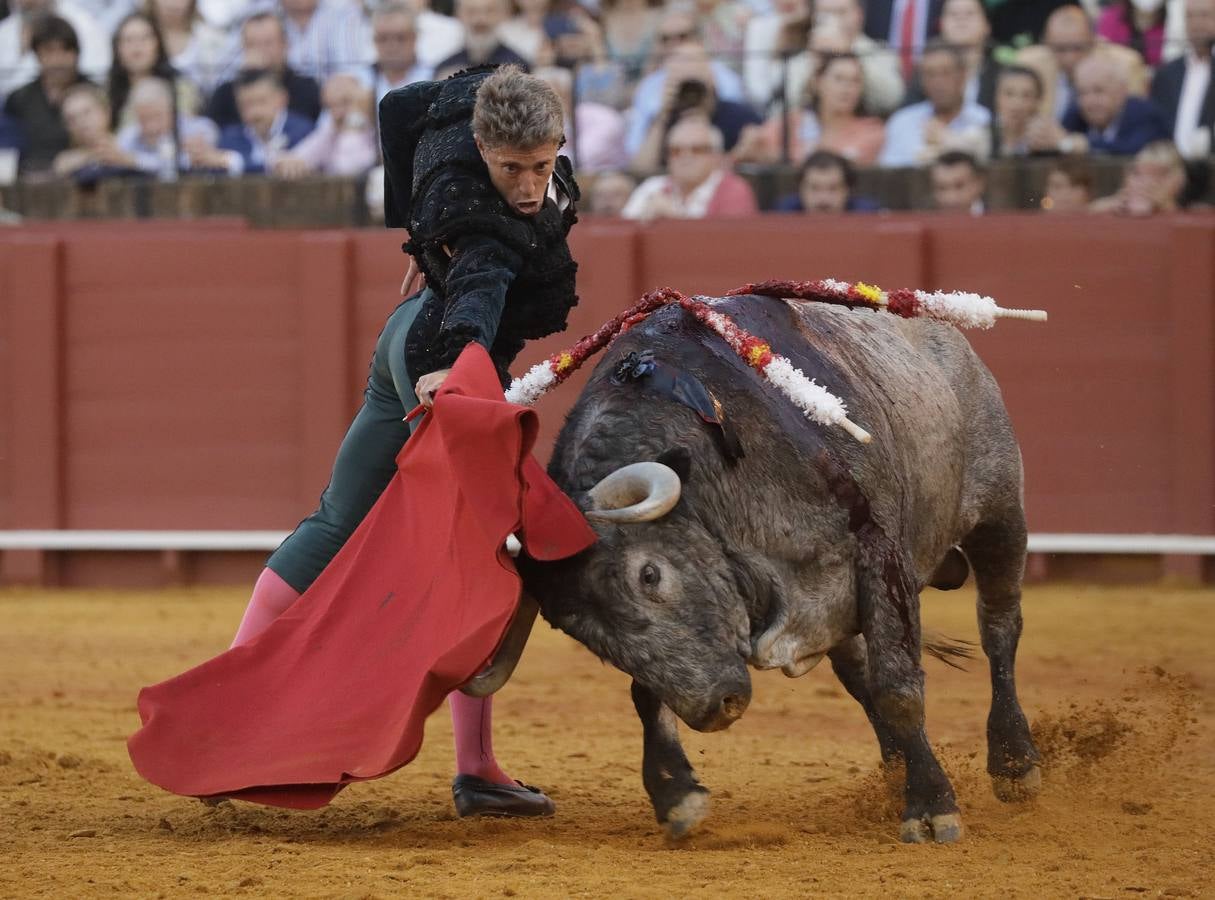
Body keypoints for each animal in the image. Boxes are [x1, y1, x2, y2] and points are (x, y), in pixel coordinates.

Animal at [495, 292, 1044, 840]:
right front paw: (676, 794)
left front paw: (931, 806)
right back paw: (894, 775)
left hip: (999, 514)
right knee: (858, 670)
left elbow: (899, 688)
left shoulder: (880, 554)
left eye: (649, 574)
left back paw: (1016, 765)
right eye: (580, 633)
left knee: (999, 627)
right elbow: (646, 694)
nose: (718, 707)